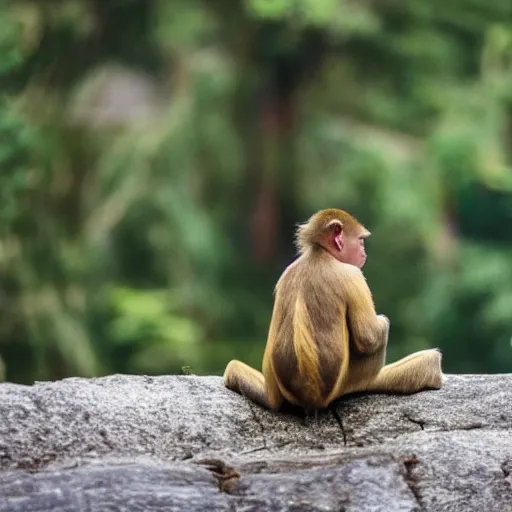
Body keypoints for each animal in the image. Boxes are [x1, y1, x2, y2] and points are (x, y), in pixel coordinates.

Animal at [224, 208, 444, 412]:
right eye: (361, 241)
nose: (364, 253)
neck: (319, 253)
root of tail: (310, 396)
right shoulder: (353, 275)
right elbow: (369, 338)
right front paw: (382, 322)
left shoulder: (286, 274)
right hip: (350, 382)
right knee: (425, 360)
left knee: (235, 368)